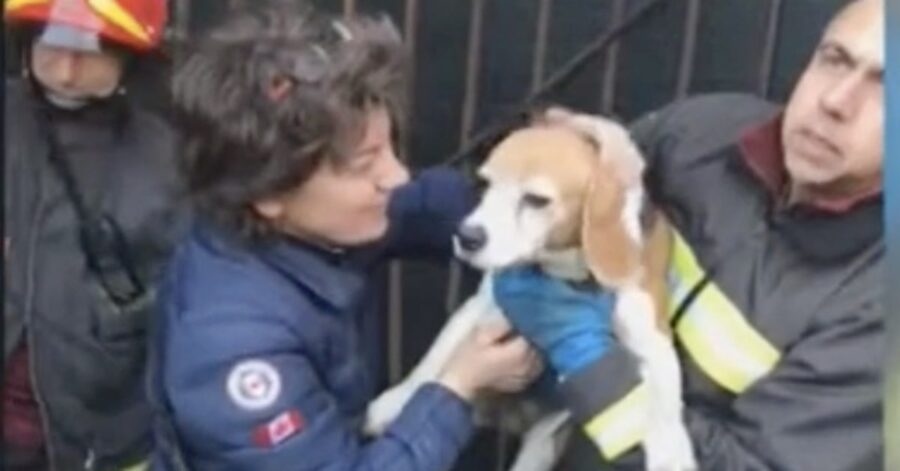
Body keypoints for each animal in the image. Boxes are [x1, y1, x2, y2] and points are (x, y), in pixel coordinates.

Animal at [364, 108, 696, 471]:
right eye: (485, 184)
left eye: (536, 200)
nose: (467, 237)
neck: (559, 270)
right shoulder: (482, 305)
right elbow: (437, 356)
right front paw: (396, 400)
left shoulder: (651, 336)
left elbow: (666, 401)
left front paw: (671, 452)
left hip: (546, 439)